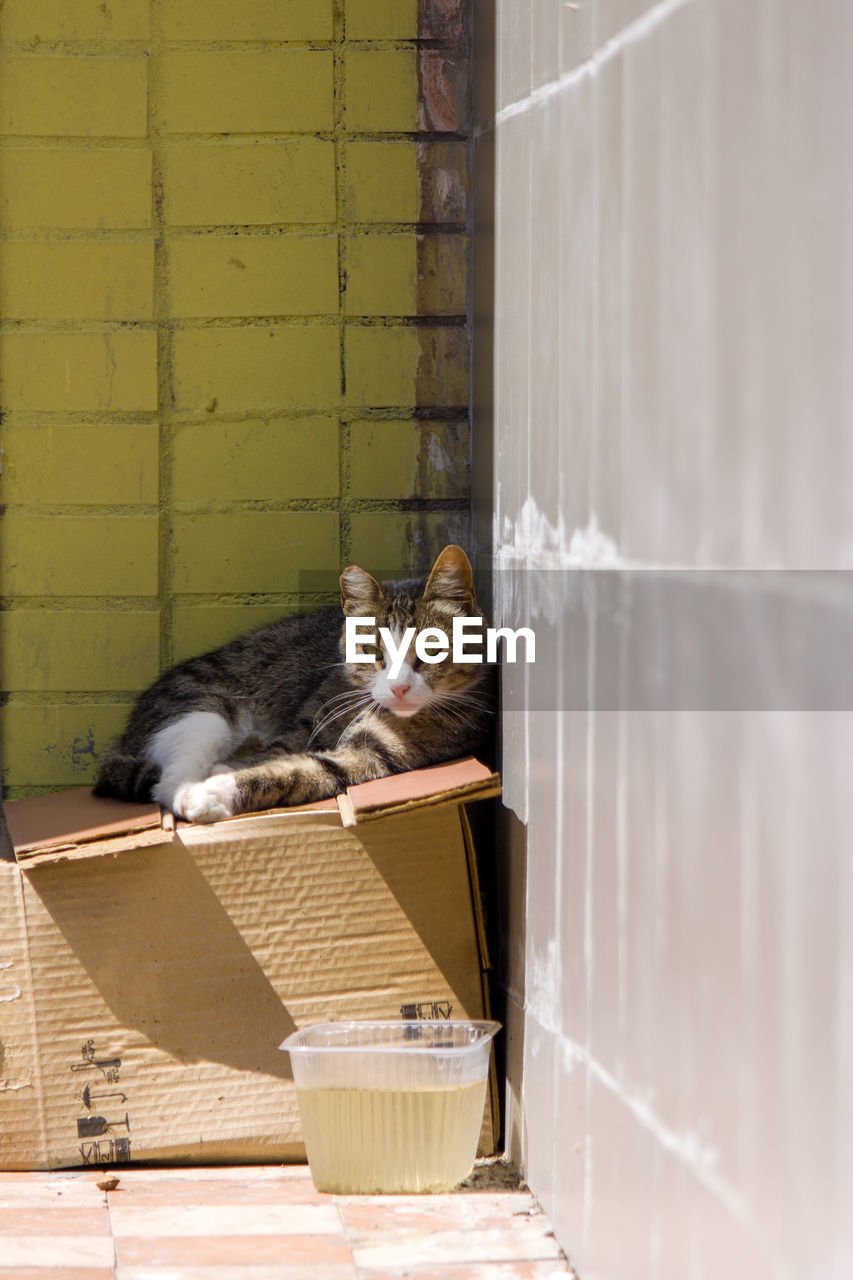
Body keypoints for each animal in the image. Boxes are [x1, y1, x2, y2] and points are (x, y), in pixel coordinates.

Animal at [92, 545, 491, 824]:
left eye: (431, 649)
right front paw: (223, 776)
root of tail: (126, 734)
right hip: (202, 708)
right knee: (169, 777)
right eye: (371, 650)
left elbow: (296, 771)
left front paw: (218, 788)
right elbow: (276, 756)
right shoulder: (302, 727)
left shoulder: (370, 758)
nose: (398, 688)